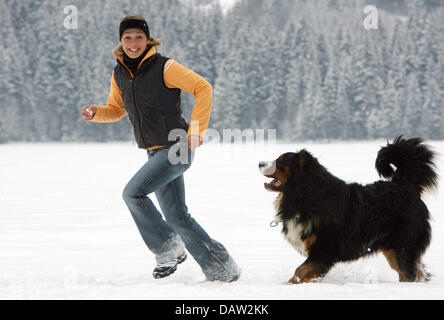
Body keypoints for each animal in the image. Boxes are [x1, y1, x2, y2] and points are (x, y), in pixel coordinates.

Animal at [260, 136, 438, 284]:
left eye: (280, 161)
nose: (259, 163)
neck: (306, 194)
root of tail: (405, 185)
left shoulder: (323, 249)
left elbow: (300, 270)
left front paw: (288, 284)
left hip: (402, 246)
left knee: (408, 272)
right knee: (417, 271)